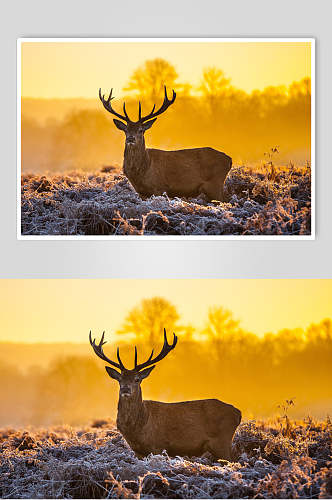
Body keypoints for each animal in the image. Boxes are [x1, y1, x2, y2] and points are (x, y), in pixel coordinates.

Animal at [89, 328, 241, 460]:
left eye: (137, 379)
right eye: (120, 380)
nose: (125, 389)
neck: (138, 427)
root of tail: (237, 412)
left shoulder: (157, 446)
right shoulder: (138, 451)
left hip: (221, 441)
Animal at [99, 86, 231, 201]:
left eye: (140, 130)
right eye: (126, 130)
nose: (131, 138)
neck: (142, 171)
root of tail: (229, 159)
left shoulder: (159, 188)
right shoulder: (141, 193)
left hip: (215, 184)